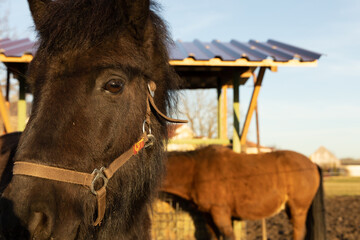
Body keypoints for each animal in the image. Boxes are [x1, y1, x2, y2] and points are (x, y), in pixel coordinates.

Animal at [162, 145, 326, 240]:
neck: (197, 170)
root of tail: (312, 163)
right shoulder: (207, 215)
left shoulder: (220, 212)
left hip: (298, 209)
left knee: (298, 232)